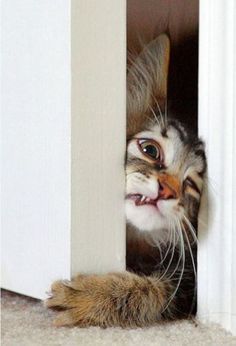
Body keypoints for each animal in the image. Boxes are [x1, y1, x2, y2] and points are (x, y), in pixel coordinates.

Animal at [44, 34, 206, 328]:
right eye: (150, 150)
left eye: (191, 184)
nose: (166, 190)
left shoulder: (189, 279)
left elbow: (153, 289)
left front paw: (92, 295)